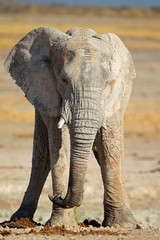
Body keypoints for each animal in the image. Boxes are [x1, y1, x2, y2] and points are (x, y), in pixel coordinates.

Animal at [4, 26, 136, 229]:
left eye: (107, 83)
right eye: (64, 80)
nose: (55, 196)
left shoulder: (115, 95)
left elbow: (109, 149)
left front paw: (121, 226)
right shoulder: (48, 91)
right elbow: (60, 145)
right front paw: (61, 225)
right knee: (41, 156)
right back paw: (18, 220)